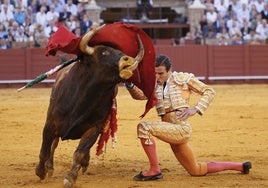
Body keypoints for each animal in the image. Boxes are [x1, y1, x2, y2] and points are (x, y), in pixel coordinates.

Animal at [35, 25, 144, 187]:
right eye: (104, 52)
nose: (128, 59)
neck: (83, 99)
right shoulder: (50, 124)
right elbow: (45, 149)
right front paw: (40, 171)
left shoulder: (94, 128)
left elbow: (79, 152)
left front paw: (70, 177)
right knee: (53, 145)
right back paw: (50, 168)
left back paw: (84, 164)